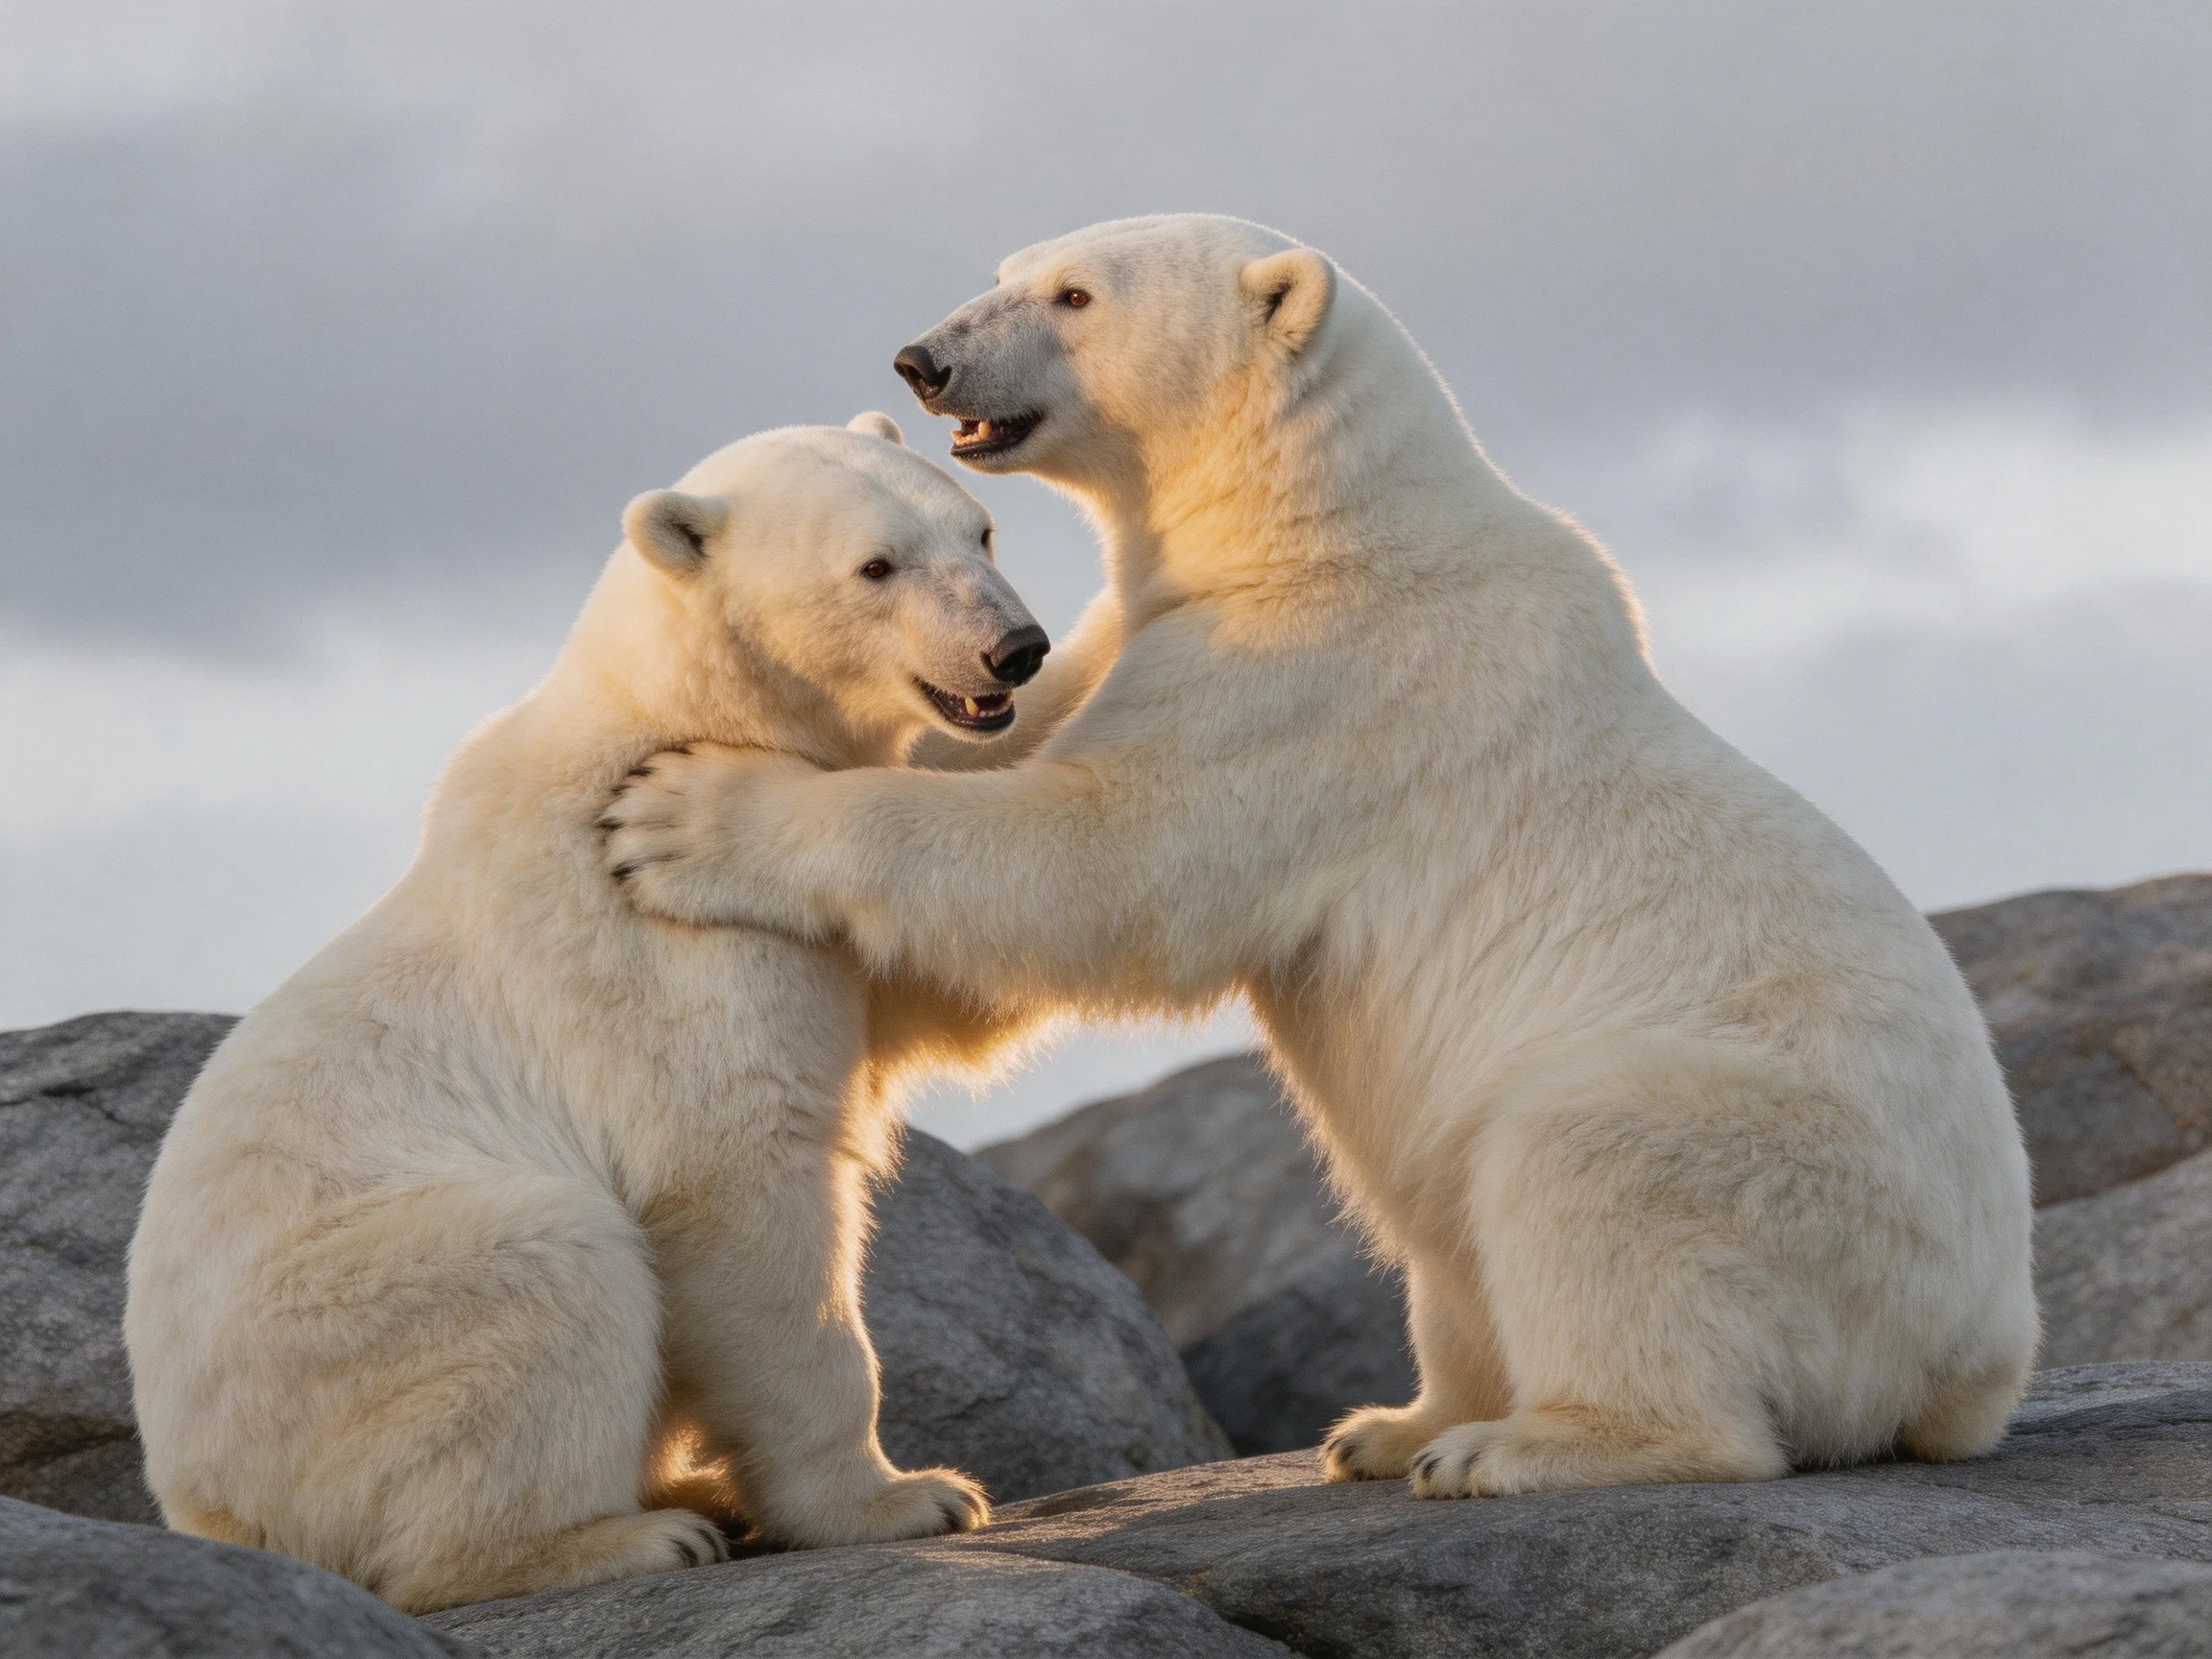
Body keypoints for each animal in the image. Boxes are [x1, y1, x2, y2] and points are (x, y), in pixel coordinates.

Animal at [124, 414, 1049, 1613]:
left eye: (980, 530)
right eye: (876, 566)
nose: (1014, 649)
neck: (672, 720)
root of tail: (204, 1504)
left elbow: (943, 974)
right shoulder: (657, 956)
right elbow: (736, 1180)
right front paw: (906, 1498)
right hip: (346, 1341)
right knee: (542, 1276)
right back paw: (632, 1535)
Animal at [598, 215, 2039, 1501]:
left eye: (1074, 294)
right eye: (1010, 266)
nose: (924, 360)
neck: (1325, 525)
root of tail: (1977, 1360)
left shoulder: (1313, 679)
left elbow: (1105, 863)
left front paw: (681, 814)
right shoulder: (1165, 629)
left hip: (1799, 1179)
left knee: (1588, 1162)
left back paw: (1524, 1445)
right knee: (1446, 1228)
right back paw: (1396, 1425)